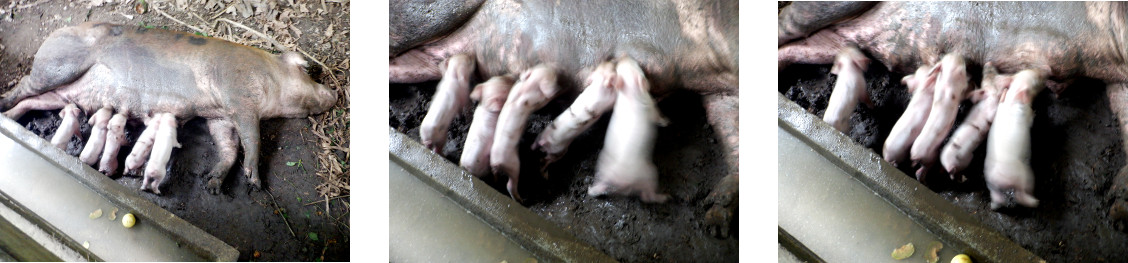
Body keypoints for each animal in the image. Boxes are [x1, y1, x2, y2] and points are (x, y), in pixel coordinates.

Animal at [0, 21, 338, 195]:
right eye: (306, 73)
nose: (334, 92)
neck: (269, 77)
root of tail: (52, 36)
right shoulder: (238, 97)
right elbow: (251, 136)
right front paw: (254, 182)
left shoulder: (219, 116)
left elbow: (228, 147)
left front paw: (212, 185)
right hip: (58, 67)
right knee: (25, 84)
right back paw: (4, 106)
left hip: (62, 95)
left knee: (34, 101)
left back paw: (10, 117)